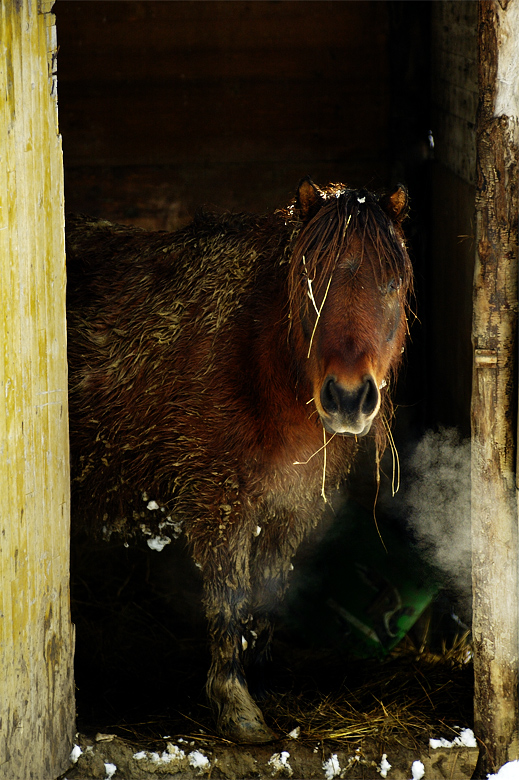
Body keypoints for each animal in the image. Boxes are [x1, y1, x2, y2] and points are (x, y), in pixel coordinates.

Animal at [66, 177, 412, 743]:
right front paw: (235, 704)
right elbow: (228, 597)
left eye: (392, 285)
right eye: (310, 279)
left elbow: (268, 593)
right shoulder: (220, 502)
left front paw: (264, 681)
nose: (347, 397)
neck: (256, 361)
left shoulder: (290, 506)